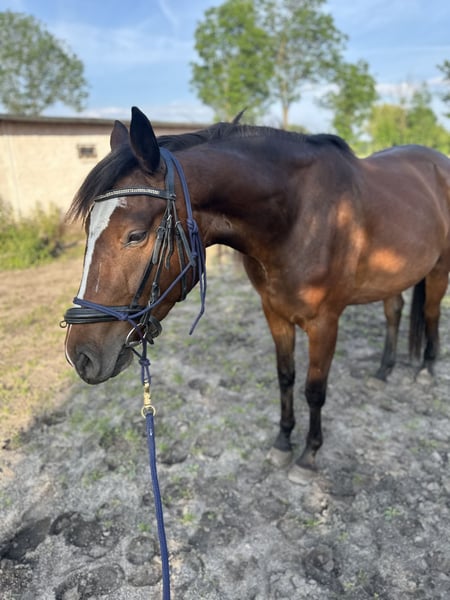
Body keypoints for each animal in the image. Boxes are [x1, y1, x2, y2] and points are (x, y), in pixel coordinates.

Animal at [63, 107, 450, 482]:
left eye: (136, 235)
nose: (80, 355)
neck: (299, 216)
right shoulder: (274, 313)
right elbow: (285, 377)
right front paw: (283, 443)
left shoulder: (325, 323)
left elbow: (314, 389)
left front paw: (308, 456)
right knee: (395, 310)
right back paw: (384, 370)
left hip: (438, 269)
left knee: (430, 313)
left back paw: (426, 369)